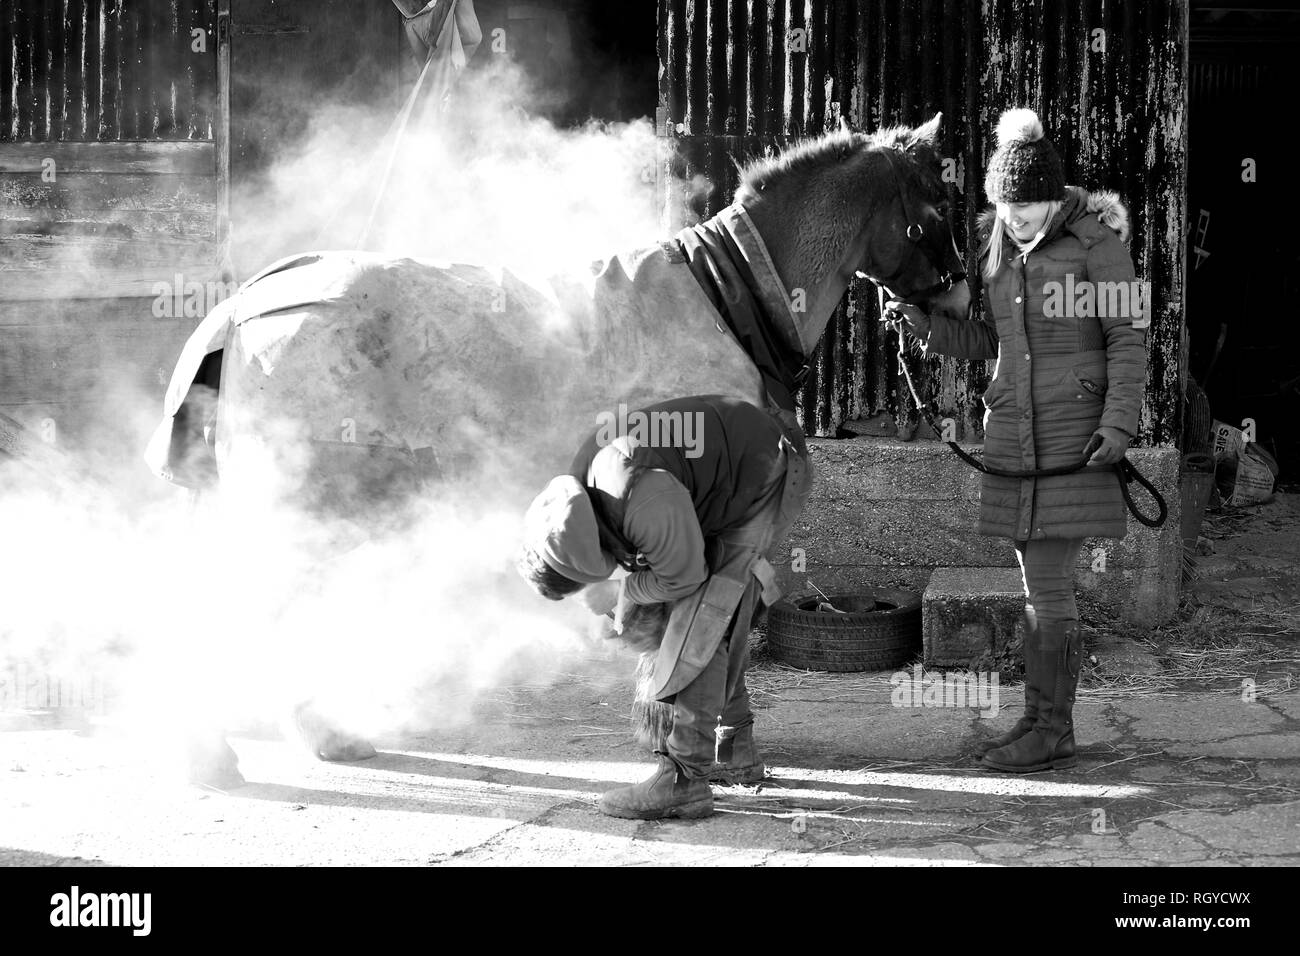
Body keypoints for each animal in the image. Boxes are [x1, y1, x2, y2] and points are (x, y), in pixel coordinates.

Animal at [149, 113, 967, 785]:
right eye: (938, 204)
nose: (961, 303)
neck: (733, 300)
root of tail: (241, 307)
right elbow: (716, 619)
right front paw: (710, 741)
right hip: (295, 505)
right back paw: (237, 746)